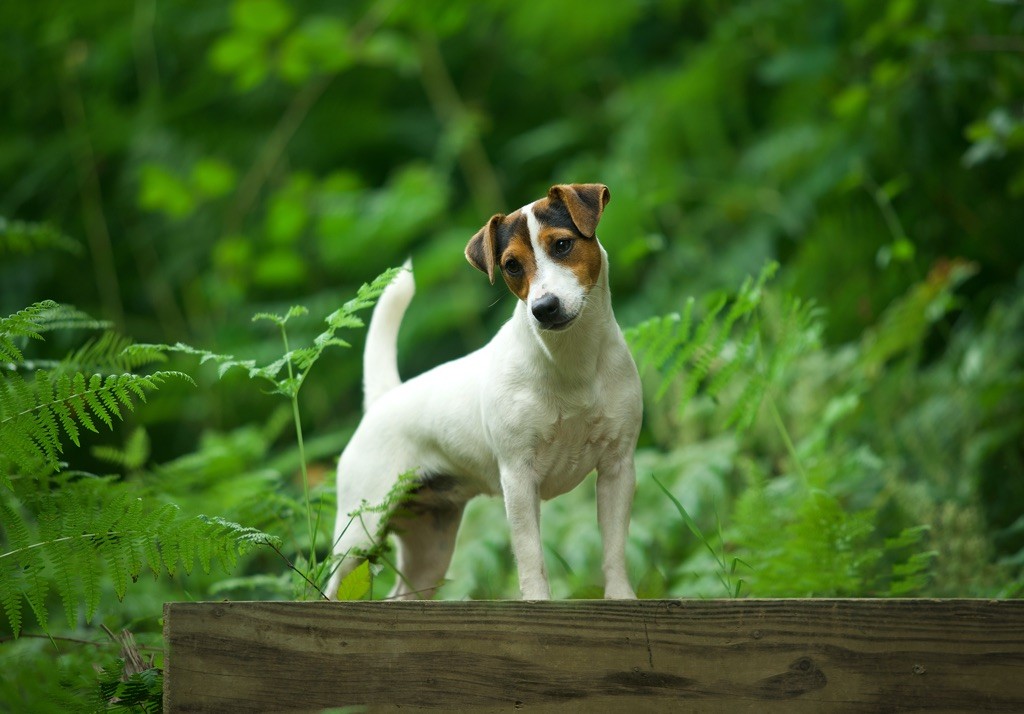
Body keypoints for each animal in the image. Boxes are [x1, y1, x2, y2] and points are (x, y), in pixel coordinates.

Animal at [325, 181, 638, 598]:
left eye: (562, 245)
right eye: (511, 265)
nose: (544, 307)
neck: (571, 363)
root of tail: (382, 399)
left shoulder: (618, 468)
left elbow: (615, 551)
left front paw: (622, 597)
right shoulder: (518, 479)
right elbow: (531, 560)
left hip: (430, 545)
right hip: (358, 534)